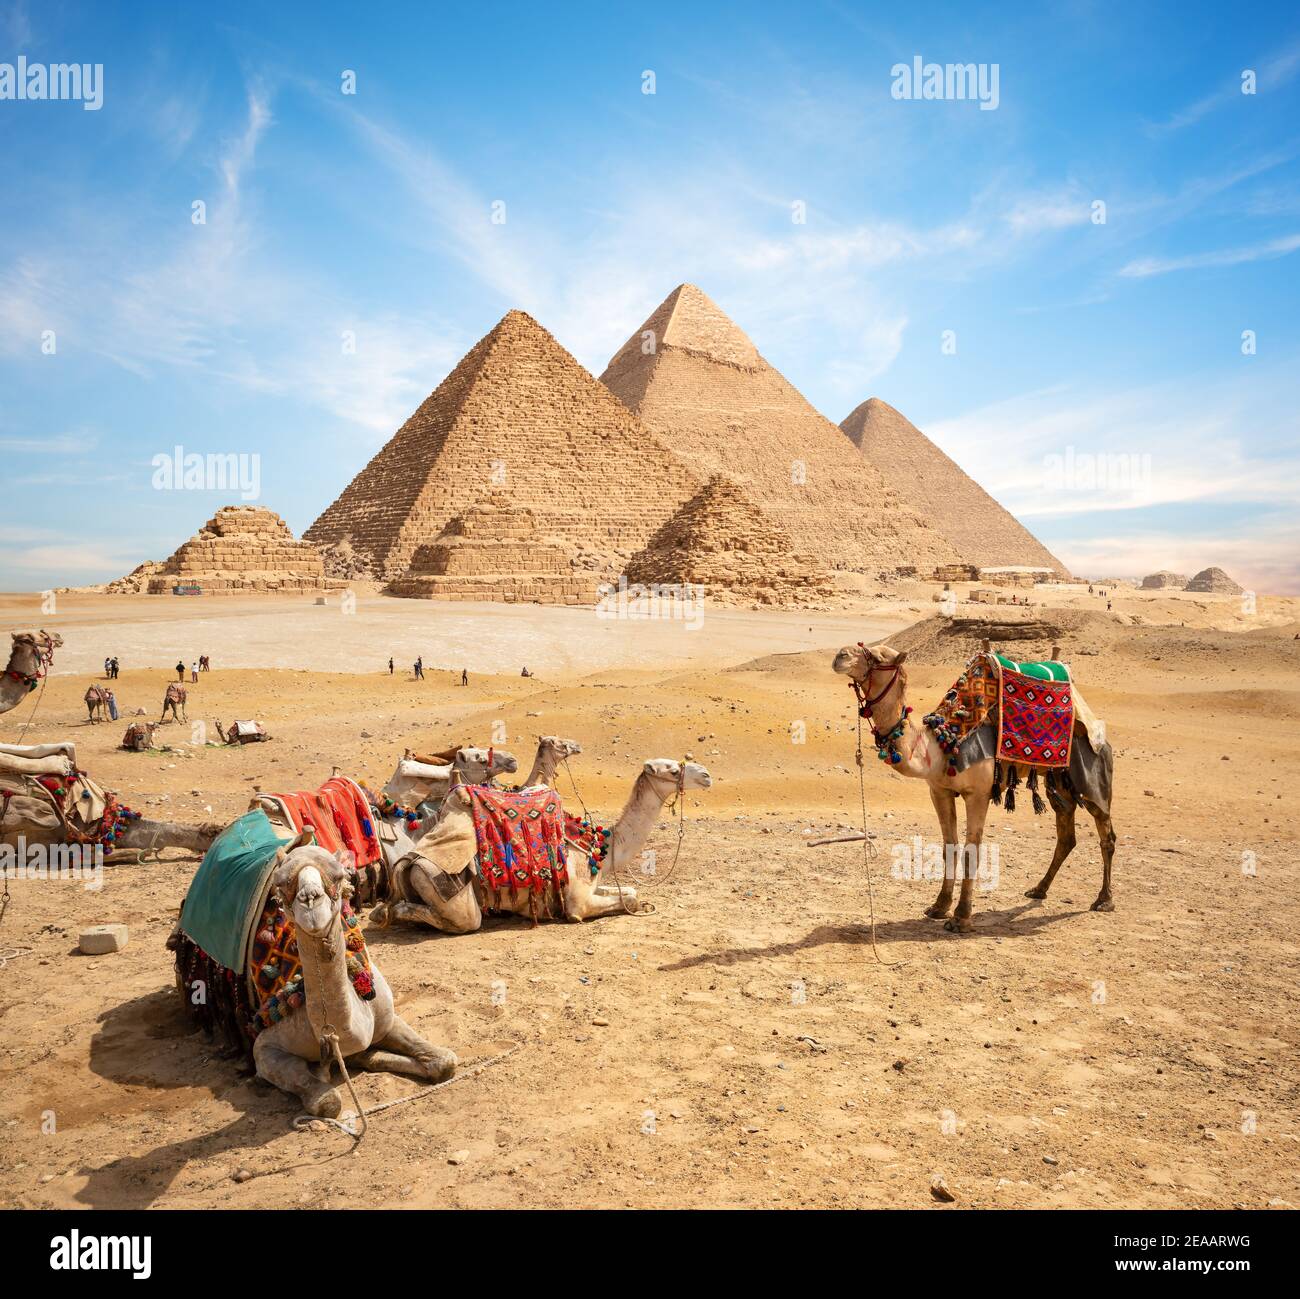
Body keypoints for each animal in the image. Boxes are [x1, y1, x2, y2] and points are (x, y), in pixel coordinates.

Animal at [832, 642, 1118, 936]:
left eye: (878, 657)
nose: (840, 655)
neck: (942, 745)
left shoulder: (979, 794)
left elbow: (972, 850)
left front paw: (961, 918)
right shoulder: (939, 791)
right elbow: (949, 846)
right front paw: (938, 907)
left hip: (1091, 772)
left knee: (1106, 833)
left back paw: (1104, 900)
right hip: (1058, 784)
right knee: (1066, 834)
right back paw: (1039, 890)